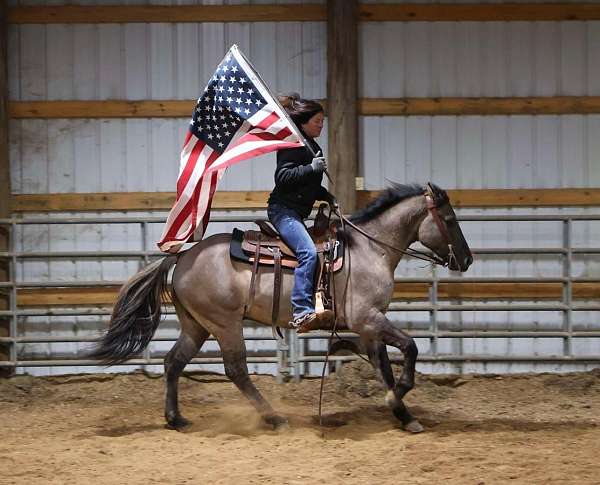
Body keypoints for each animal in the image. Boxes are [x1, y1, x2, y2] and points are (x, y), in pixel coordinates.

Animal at [90, 182, 474, 432]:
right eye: (450, 220)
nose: (467, 260)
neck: (369, 250)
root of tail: (182, 256)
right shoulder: (368, 318)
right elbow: (410, 347)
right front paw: (399, 398)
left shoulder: (369, 327)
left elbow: (384, 367)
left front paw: (404, 415)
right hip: (225, 324)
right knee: (235, 370)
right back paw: (274, 418)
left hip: (196, 325)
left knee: (174, 362)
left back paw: (176, 419)